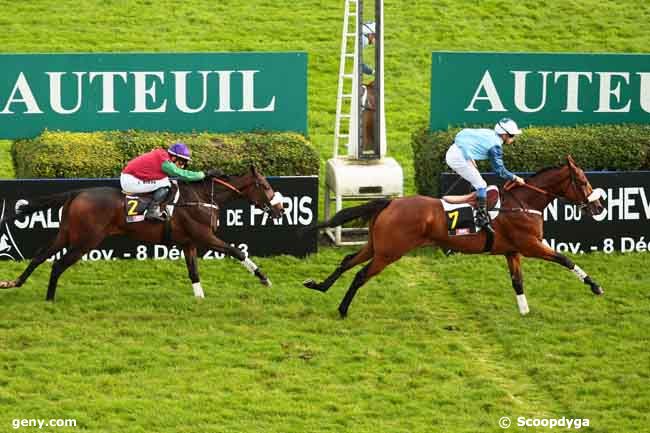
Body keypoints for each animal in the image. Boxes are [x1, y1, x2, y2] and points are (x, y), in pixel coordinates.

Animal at [0, 165, 284, 300]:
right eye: (265, 186)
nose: (280, 208)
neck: (201, 198)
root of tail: (76, 193)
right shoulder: (205, 237)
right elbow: (237, 251)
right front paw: (265, 279)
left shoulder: (189, 243)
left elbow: (193, 272)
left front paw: (200, 299)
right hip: (86, 240)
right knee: (58, 264)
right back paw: (50, 300)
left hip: (67, 234)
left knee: (39, 256)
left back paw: (14, 283)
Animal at [304, 156, 604, 318]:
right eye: (582, 181)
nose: (598, 206)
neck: (522, 203)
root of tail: (390, 202)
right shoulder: (531, 245)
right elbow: (565, 260)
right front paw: (595, 286)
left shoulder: (512, 251)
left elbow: (517, 282)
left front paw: (524, 312)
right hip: (390, 252)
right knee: (361, 274)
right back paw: (343, 309)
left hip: (377, 246)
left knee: (348, 261)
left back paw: (319, 286)